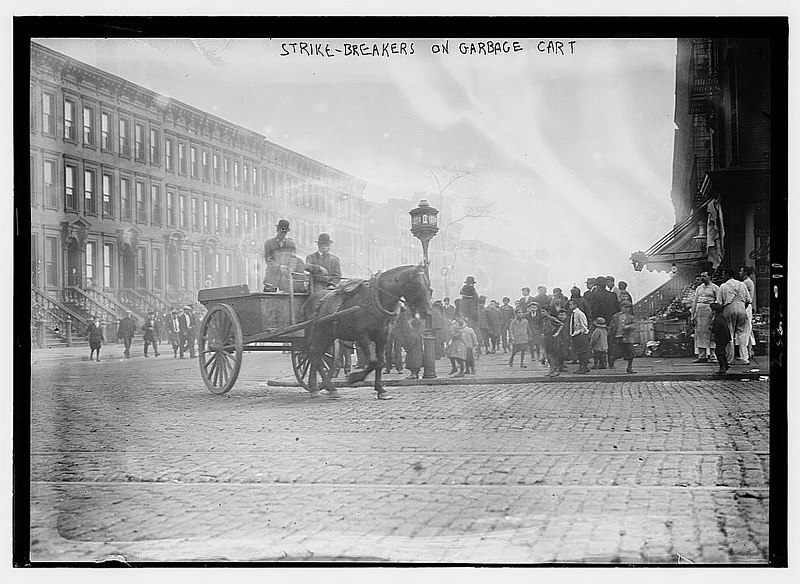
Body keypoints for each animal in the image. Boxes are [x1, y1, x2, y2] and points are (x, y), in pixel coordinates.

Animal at [298, 266, 432, 400]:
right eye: (416, 284)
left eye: (428, 286)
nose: (427, 312)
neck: (376, 300)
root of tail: (310, 300)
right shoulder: (362, 336)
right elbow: (372, 361)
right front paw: (354, 378)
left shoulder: (382, 338)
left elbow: (380, 362)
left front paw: (381, 390)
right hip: (318, 335)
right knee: (314, 357)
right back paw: (325, 388)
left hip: (327, 337)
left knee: (315, 357)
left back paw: (318, 388)